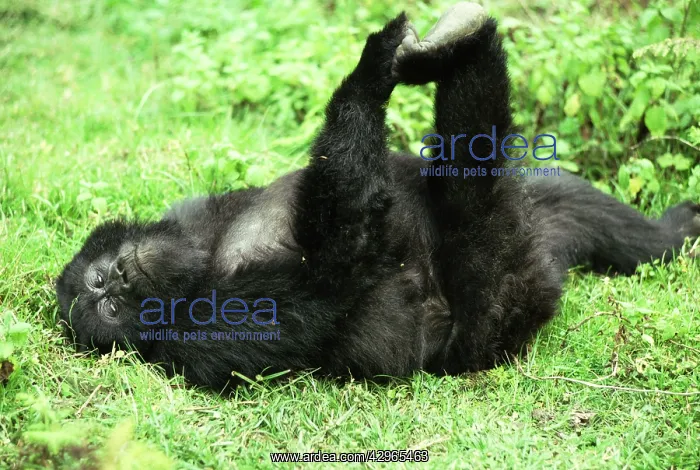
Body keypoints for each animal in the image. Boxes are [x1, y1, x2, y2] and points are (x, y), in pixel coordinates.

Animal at [55, 3, 700, 390]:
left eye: (103, 278)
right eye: (108, 307)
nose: (117, 281)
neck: (201, 255)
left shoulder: (189, 215)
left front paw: (382, 62)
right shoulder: (205, 333)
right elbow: (339, 255)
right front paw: (368, 74)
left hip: (535, 224)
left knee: (551, 197)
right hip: (507, 299)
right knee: (481, 211)